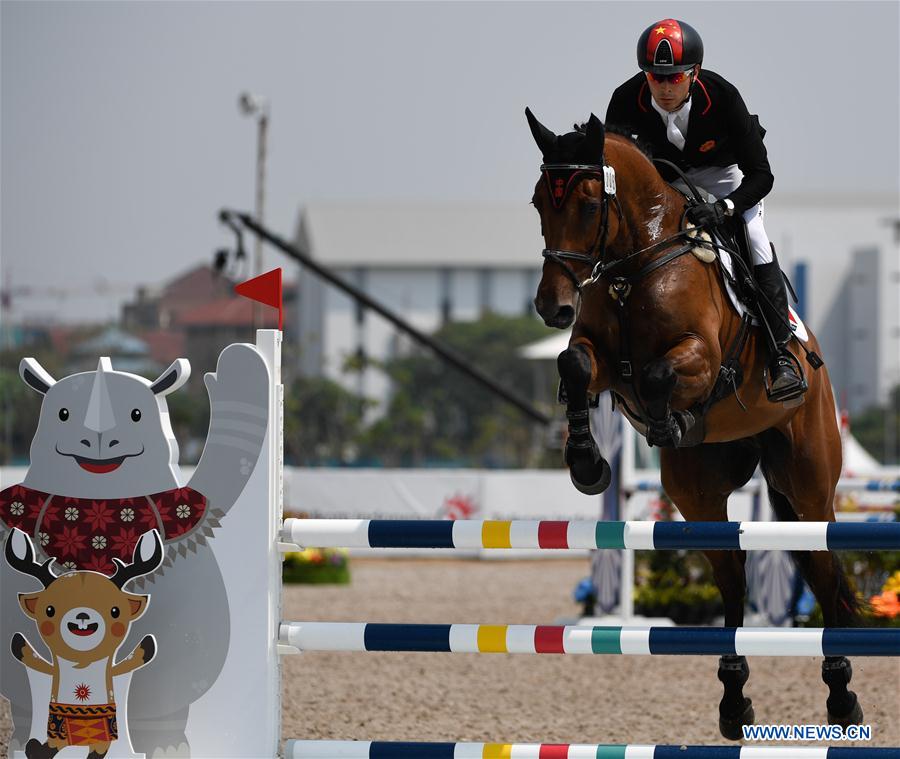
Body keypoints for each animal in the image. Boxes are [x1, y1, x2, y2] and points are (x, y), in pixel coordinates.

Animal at [524, 110, 860, 740]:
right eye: (538, 202)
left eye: (588, 203)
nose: (552, 307)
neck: (635, 262)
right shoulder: (599, 357)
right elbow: (575, 365)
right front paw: (587, 463)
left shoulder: (701, 357)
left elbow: (660, 373)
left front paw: (668, 422)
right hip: (699, 496)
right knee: (733, 579)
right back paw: (733, 700)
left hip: (809, 484)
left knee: (825, 574)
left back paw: (841, 697)